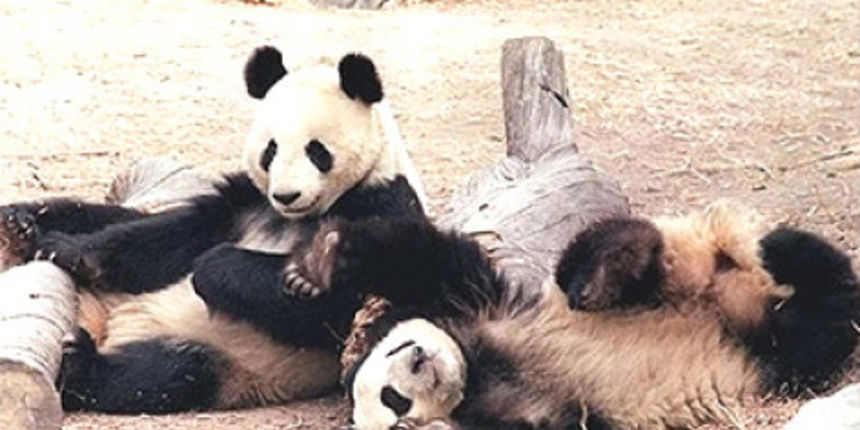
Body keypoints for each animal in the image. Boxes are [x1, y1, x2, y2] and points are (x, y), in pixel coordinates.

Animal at [0, 45, 427, 413]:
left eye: (316, 150)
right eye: (271, 149)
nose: (287, 194)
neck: (300, 217)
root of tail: (111, 326)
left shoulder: (382, 205)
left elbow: (342, 303)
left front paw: (219, 269)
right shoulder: (243, 202)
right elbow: (171, 236)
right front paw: (64, 249)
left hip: (233, 358)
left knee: (166, 372)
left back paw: (79, 363)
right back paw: (20, 225)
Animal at [262, 201, 859, 429]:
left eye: (393, 354)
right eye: (394, 400)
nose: (418, 359)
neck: (476, 367)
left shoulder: (482, 306)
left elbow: (422, 257)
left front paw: (316, 266)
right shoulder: (519, 411)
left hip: (687, 265)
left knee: (609, 248)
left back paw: (605, 272)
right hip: (768, 351)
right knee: (814, 326)